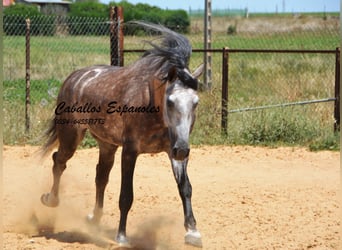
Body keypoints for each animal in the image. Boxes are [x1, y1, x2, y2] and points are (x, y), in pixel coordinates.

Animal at [40, 22, 203, 248]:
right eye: (170, 101)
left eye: (195, 102)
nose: (182, 150)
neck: (151, 106)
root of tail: (73, 78)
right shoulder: (130, 151)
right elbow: (126, 195)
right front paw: (122, 237)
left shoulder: (173, 151)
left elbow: (185, 188)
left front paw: (193, 232)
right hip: (71, 136)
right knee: (59, 161)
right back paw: (50, 200)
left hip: (107, 145)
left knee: (101, 176)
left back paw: (94, 218)